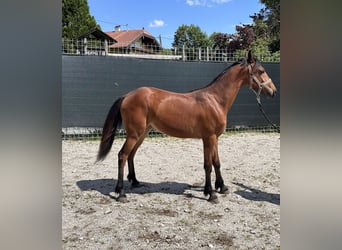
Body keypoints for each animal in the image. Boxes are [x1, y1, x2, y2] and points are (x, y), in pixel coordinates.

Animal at [97, 50, 278, 203]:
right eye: (261, 71)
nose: (274, 92)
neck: (215, 100)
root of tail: (127, 95)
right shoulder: (208, 138)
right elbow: (207, 165)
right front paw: (210, 193)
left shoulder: (215, 138)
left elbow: (217, 162)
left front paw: (222, 187)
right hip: (134, 134)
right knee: (122, 155)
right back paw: (121, 193)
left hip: (141, 133)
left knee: (131, 155)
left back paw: (135, 181)